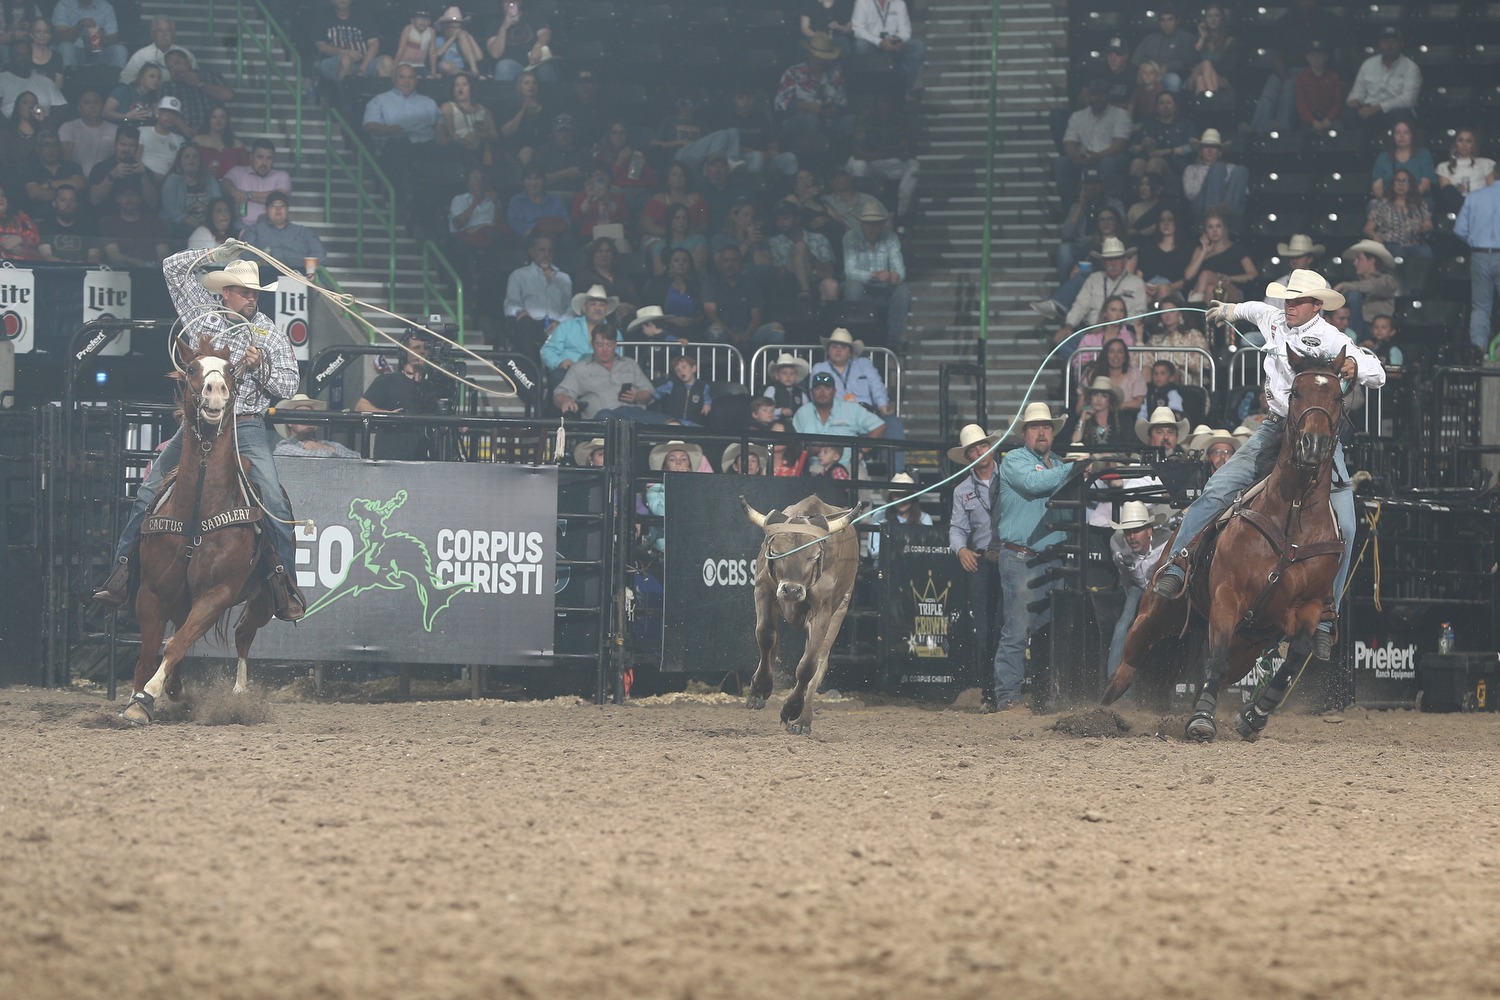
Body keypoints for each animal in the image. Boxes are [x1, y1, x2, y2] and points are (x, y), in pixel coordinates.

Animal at [120, 338, 276, 728]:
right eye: (192, 368)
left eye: (232, 370)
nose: (216, 389)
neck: (195, 515)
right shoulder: (153, 591)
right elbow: (151, 651)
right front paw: (138, 700)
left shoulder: (215, 594)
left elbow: (176, 644)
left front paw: (148, 695)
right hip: (180, 598)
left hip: (263, 599)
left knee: (242, 634)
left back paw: (238, 695)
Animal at [1104, 347, 1350, 740]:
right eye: (1295, 392)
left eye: (1339, 397)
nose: (1313, 445)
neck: (1292, 520)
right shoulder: (1227, 595)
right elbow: (1214, 659)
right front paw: (1203, 720)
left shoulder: (1309, 607)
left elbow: (1295, 657)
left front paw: (1253, 715)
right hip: (1156, 610)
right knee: (1131, 657)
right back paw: (1100, 709)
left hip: (1246, 646)